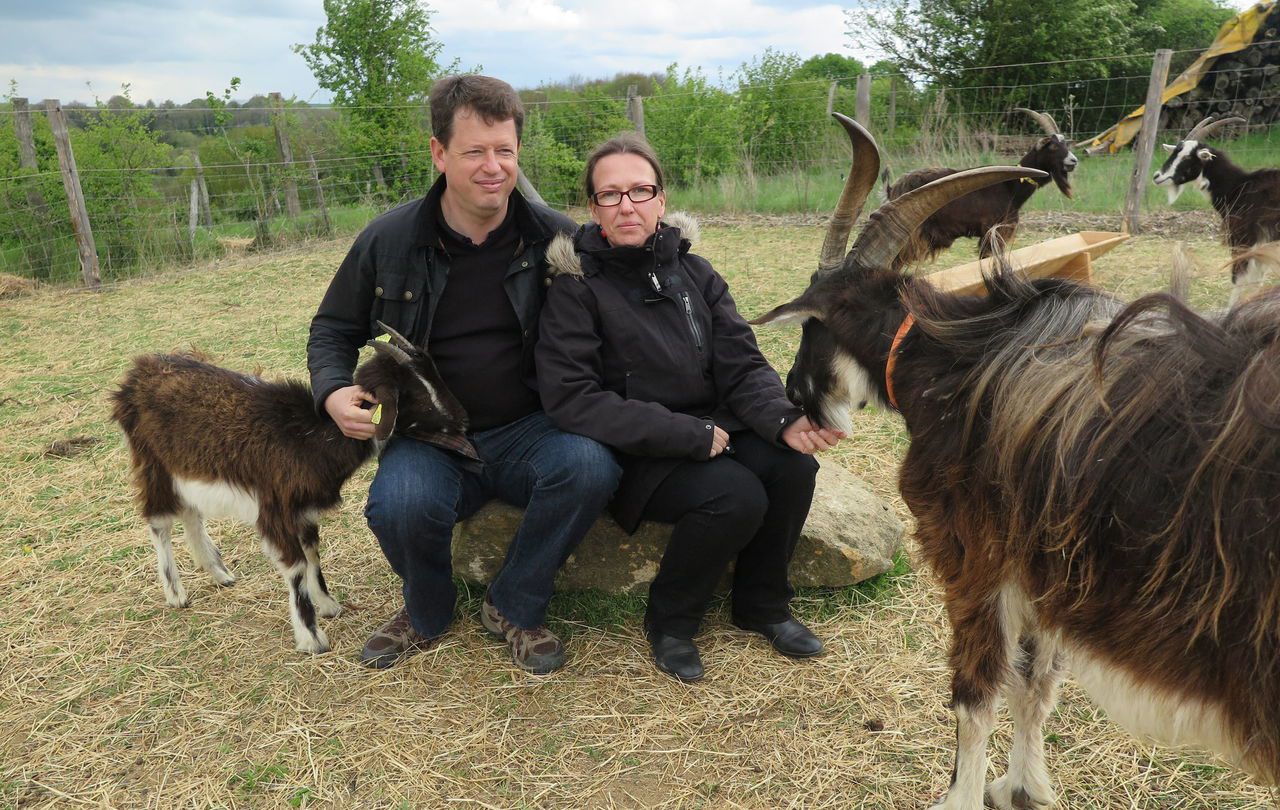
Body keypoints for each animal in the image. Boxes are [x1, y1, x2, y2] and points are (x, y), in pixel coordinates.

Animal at [112, 322, 468, 650]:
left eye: (435, 373)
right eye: (416, 394)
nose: (463, 420)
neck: (309, 438)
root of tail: (137, 375)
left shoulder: (304, 511)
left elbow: (312, 554)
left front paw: (327, 605)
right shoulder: (276, 509)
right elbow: (296, 565)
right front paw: (312, 638)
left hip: (187, 467)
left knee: (190, 513)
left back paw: (218, 573)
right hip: (153, 464)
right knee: (160, 522)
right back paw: (176, 593)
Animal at [880, 107, 1080, 270]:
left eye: (1065, 144)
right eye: (1052, 145)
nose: (1073, 160)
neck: (1011, 187)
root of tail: (893, 189)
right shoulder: (993, 231)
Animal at [1157, 111, 1274, 301]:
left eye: (1187, 157)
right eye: (1174, 152)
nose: (1157, 176)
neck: (1239, 187)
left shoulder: (1243, 241)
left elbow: (1239, 281)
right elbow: (1255, 283)